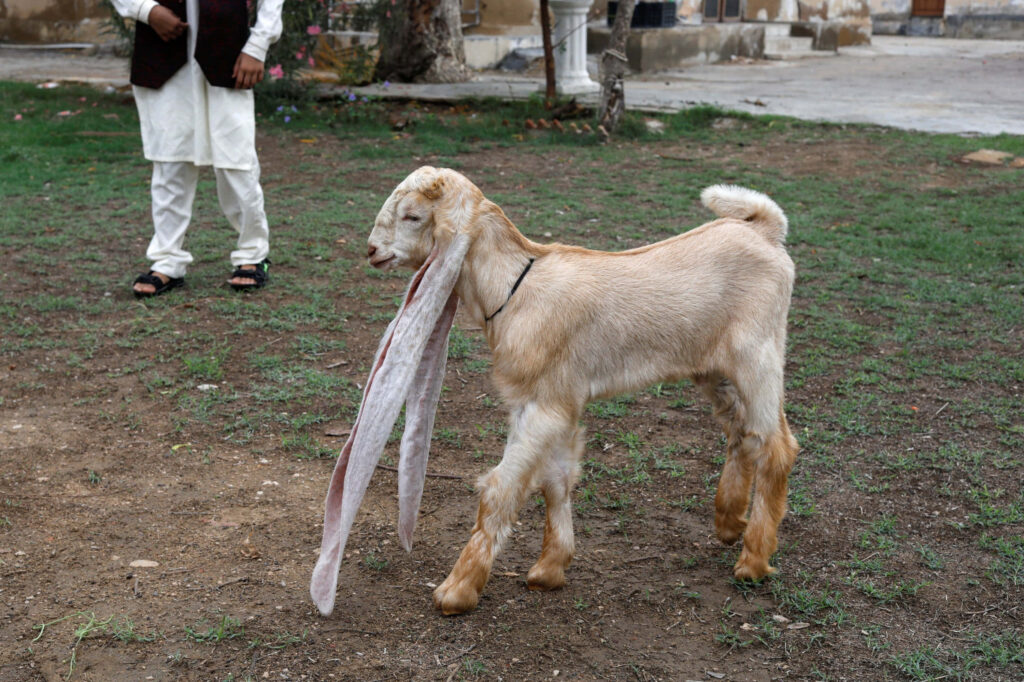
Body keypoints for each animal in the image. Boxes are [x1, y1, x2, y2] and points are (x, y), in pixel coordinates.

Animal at [311, 166, 799, 616]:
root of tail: (765, 231)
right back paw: (729, 522)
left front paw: (458, 589)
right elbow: (556, 479)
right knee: (741, 434)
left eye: (413, 216)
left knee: (776, 445)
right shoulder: (553, 401)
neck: (515, 288)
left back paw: (754, 560)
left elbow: (500, 489)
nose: (372, 251)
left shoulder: (544, 405)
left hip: (758, 355)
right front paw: (549, 568)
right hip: (714, 368)